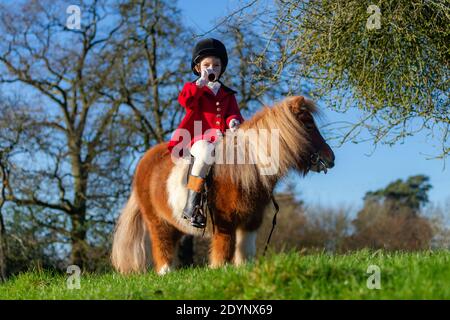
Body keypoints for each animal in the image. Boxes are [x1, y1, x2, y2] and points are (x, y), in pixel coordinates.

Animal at [110, 95, 334, 276]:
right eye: (308, 125)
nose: (330, 158)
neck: (246, 166)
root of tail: (145, 160)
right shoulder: (224, 223)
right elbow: (223, 251)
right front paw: (220, 270)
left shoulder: (251, 221)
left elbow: (245, 251)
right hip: (157, 220)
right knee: (161, 244)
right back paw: (166, 272)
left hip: (174, 221)